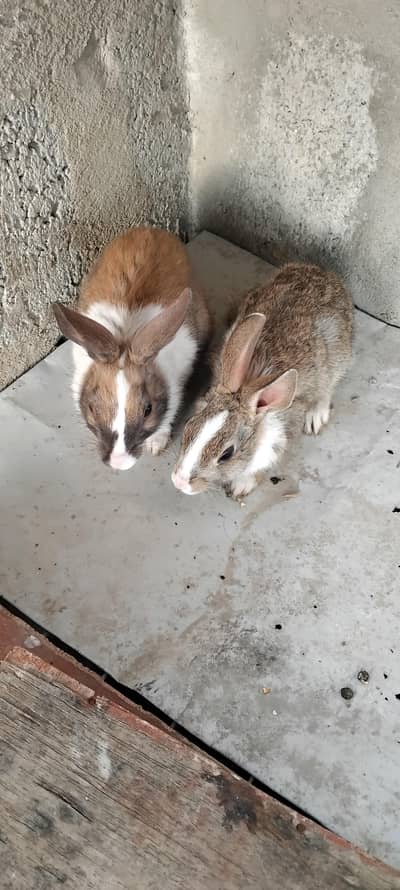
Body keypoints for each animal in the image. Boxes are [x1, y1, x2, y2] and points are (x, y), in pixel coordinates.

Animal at [53, 227, 210, 470]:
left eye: (148, 410)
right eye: (93, 408)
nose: (119, 462)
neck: (124, 336)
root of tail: (150, 229)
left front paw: (156, 445)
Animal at [171, 263, 353, 499]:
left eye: (227, 454)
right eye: (189, 425)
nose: (179, 482)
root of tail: (321, 272)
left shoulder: (278, 442)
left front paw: (241, 487)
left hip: (336, 357)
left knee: (327, 388)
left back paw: (316, 416)